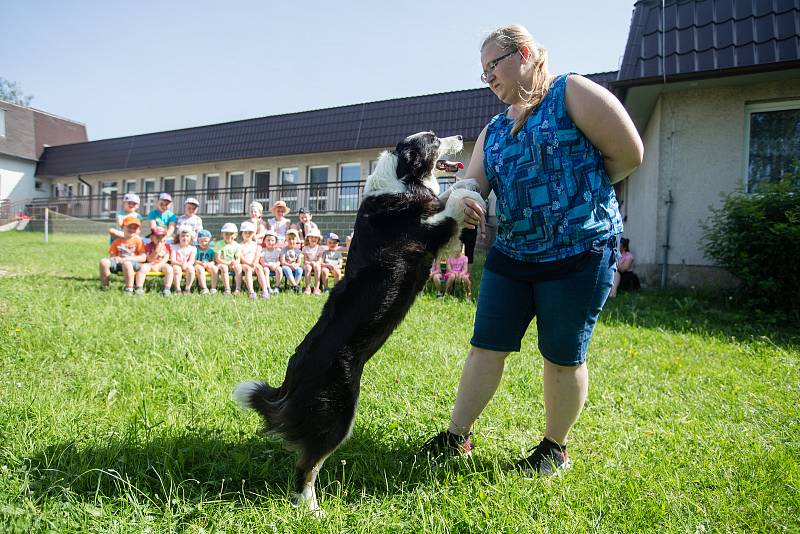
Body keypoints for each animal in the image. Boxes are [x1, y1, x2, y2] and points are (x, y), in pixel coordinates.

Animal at [231, 131, 482, 516]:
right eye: (433, 140)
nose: (458, 136)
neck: (402, 177)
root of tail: (290, 377)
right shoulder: (429, 235)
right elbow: (451, 203)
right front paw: (469, 193)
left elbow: (449, 198)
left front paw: (468, 183)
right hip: (337, 414)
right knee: (307, 465)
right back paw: (312, 510)